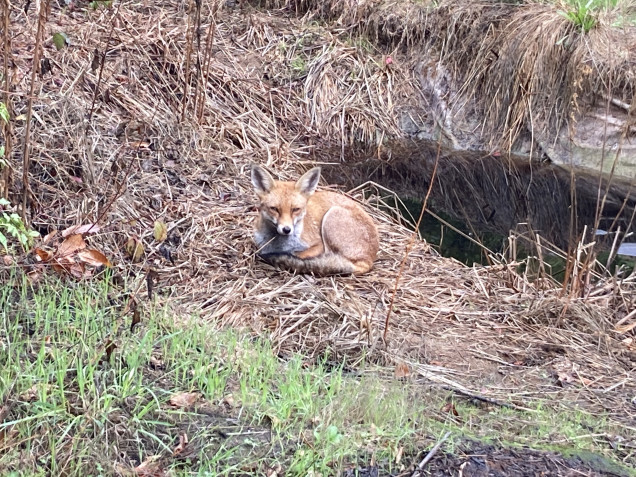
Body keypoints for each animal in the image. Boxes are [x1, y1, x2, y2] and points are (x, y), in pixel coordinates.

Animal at [248, 165, 378, 274]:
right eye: (274, 209)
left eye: (295, 209)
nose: (286, 229)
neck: (278, 245)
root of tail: (369, 261)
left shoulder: (318, 245)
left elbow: (298, 255)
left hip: (331, 216)